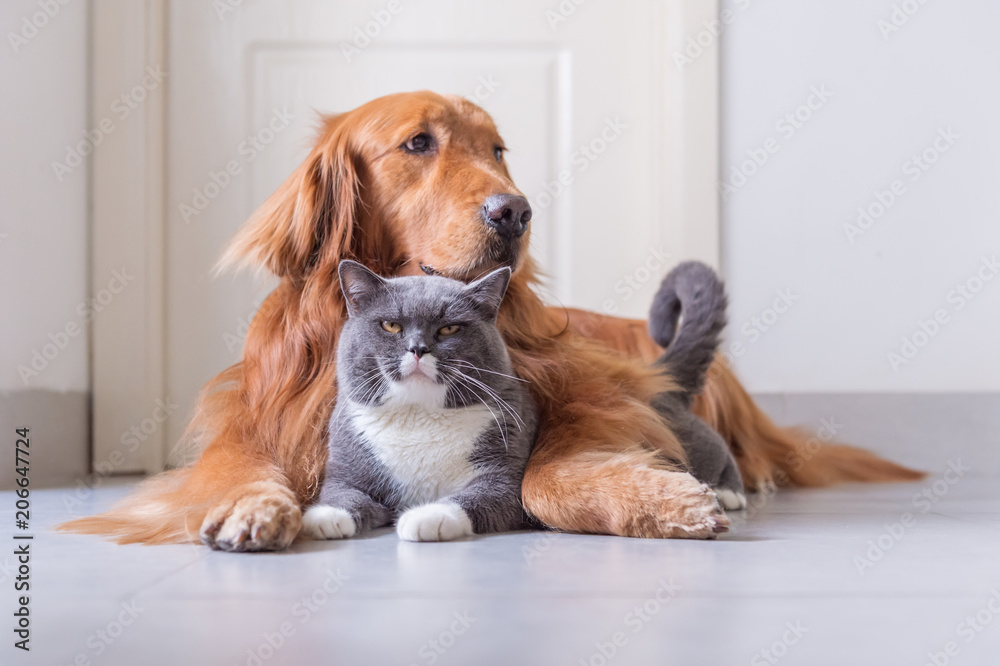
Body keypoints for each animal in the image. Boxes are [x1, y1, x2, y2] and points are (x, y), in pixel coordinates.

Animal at [304, 260, 540, 540]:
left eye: (449, 328)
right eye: (391, 325)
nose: (418, 348)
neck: (418, 413)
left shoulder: (506, 471)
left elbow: (482, 494)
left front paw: (427, 516)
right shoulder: (346, 468)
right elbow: (341, 492)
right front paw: (326, 516)